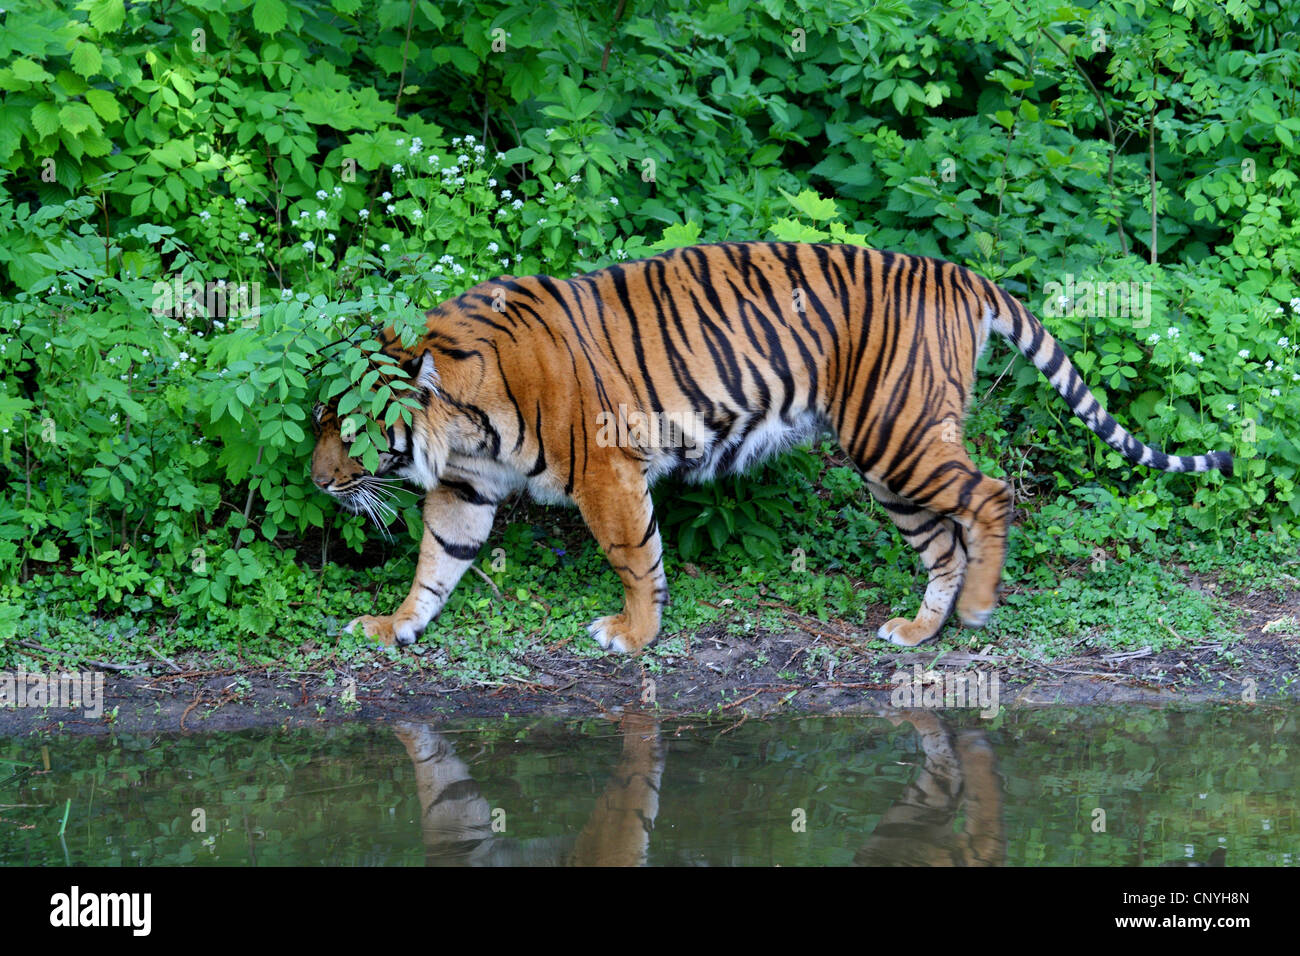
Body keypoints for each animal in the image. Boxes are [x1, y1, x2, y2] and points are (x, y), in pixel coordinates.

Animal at [309, 243, 1232, 655]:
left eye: (346, 428)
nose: (317, 483)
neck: (461, 419)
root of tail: (954, 272)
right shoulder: (467, 488)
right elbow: (438, 561)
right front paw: (393, 624)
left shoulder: (607, 472)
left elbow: (634, 556)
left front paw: (633, 634)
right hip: (888, 462)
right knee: (942, 539)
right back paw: (919, 629)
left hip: (899, 437)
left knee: (993, 494)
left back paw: (975, 609)